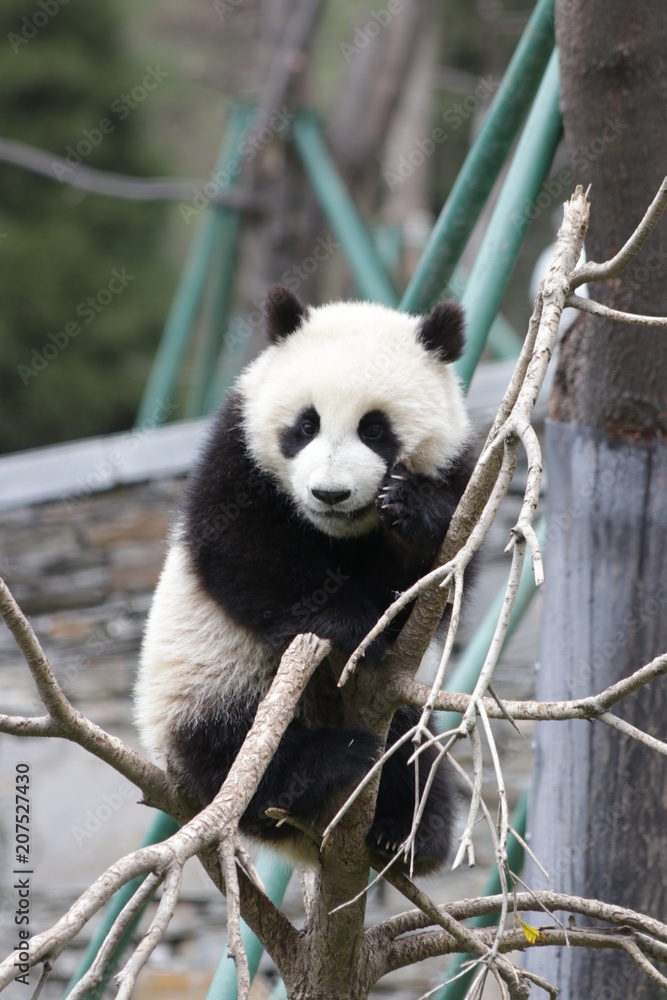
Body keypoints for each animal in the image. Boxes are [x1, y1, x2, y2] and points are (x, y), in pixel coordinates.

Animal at [134, 284, 475, 875]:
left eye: (375, 429)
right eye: (306, 425)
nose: (329, 494)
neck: (338, 532)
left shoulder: (463, 470)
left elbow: (434, 588)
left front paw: (412, 514)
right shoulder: (236, 450)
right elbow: (245, 551)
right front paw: (353, 625)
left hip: (398, 716)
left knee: (412, 751)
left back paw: (408, 833)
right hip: (202, 689)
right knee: (235, 758)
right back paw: (330, 760)